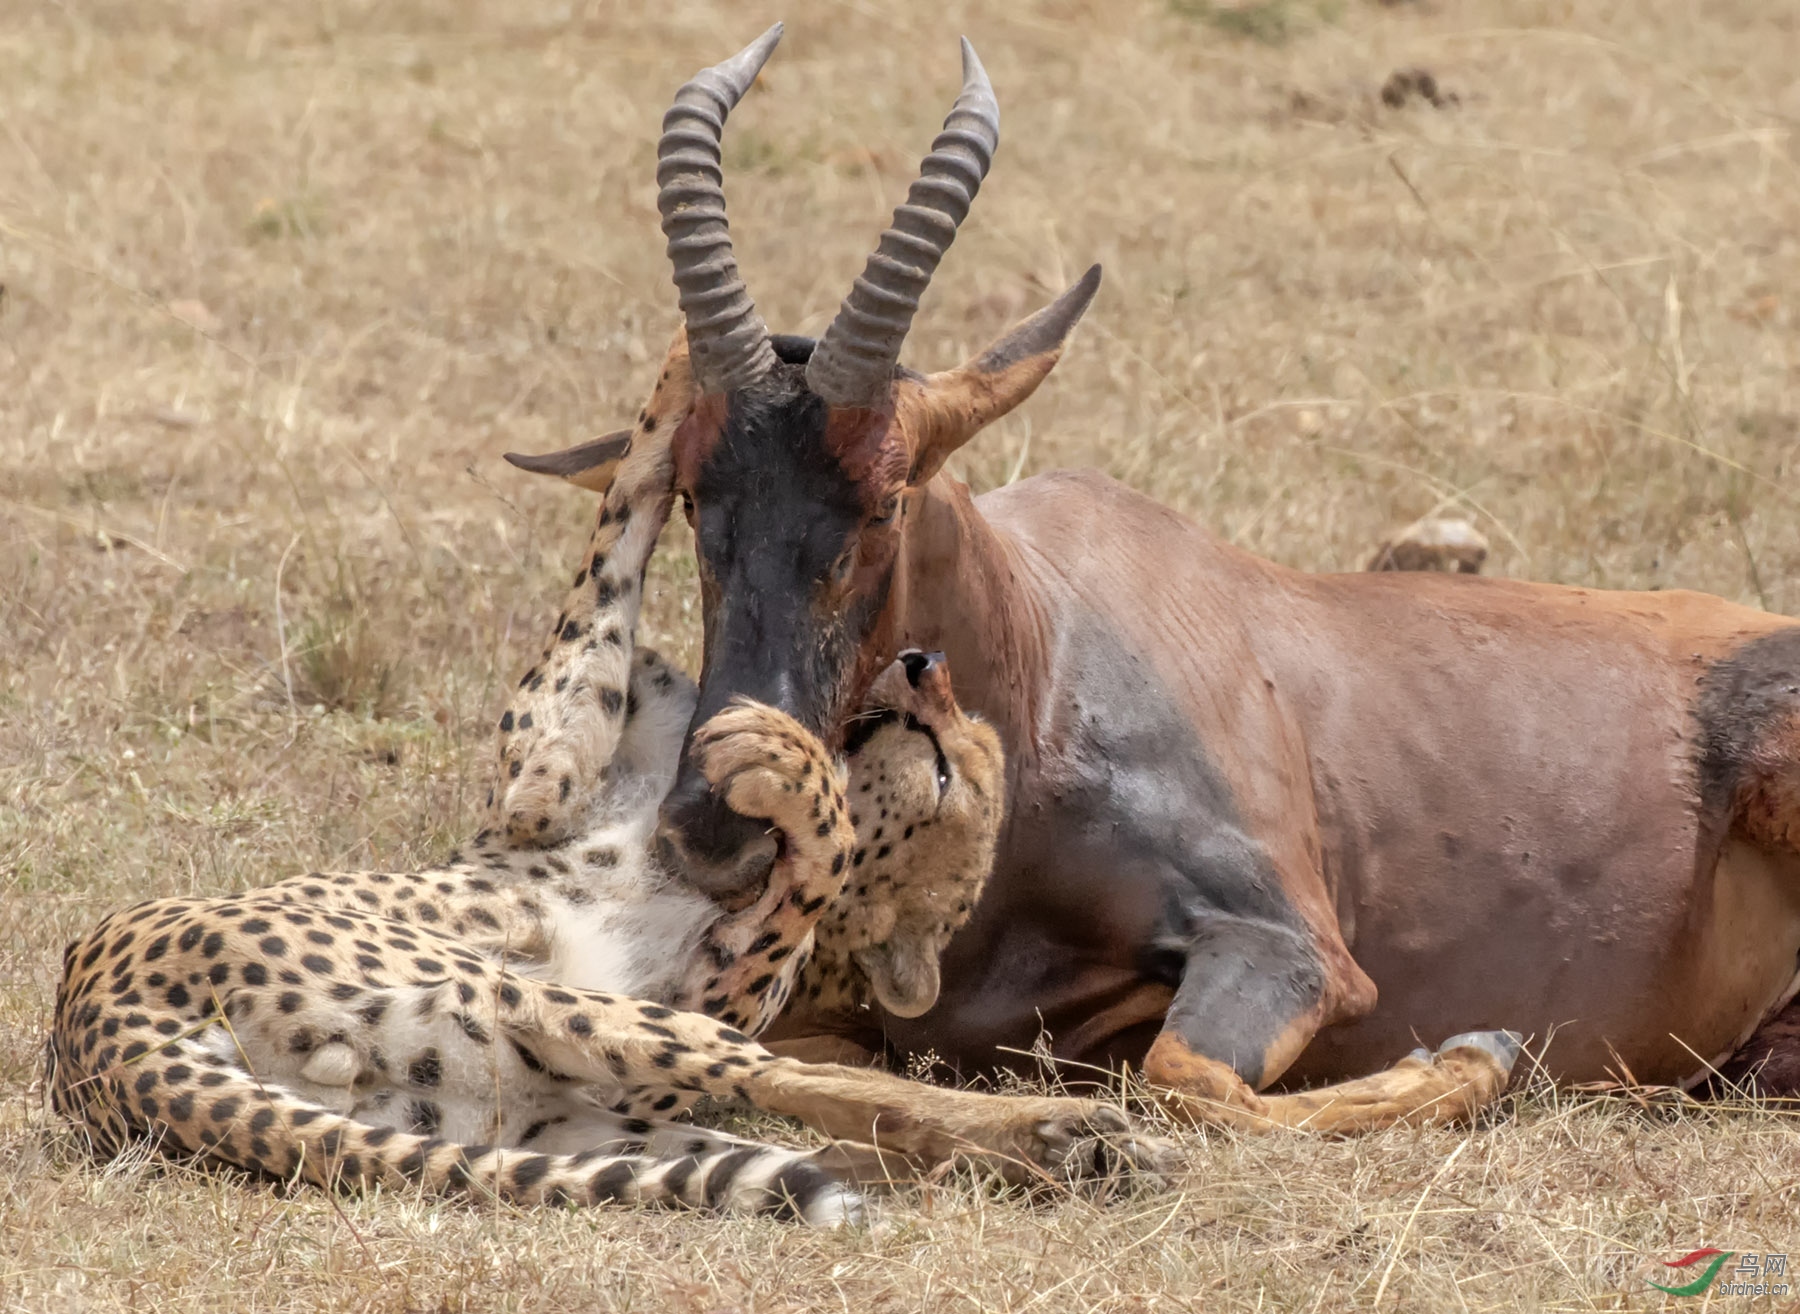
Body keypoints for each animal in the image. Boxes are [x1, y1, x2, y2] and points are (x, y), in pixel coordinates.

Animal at [49, 325, 1173, 1216]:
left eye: (948, 773)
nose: (924, 668)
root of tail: (91, 1037)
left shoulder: (624, 883)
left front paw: (781, 762)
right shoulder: (545, 783)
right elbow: (620, 537)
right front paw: (695, 370)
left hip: (552, 1059)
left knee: (801, 1100)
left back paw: (1074, 1136)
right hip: (561, 1100)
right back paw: (1070, 1145)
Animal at [522, 25, 1800, 1123]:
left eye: (886, 495)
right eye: (697, 494)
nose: (711, 829)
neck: (1043, 661)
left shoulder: (1292, 945)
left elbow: (1188, 1078)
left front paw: (1473, 1058)